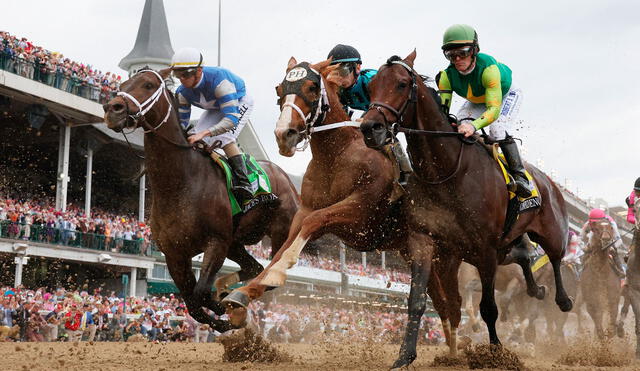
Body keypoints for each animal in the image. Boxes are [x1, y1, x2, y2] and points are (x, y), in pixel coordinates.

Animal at [102, 68, 300, 332]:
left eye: (148, 84)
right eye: (123, 84)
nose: (112, 109)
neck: (181, 184)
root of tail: (287, 179)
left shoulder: (216, 242)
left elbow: (201, 292)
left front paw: (226, 306)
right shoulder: (175, 254)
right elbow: (193, 304)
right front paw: (225, 313)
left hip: (279, 233)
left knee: (271, 274)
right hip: (235, 243)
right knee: (254, 268)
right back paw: (229, 290)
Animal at [222, 58, 458, 370]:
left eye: (312, 87)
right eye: (280, 88)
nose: (284, 135)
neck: (338, 156)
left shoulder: (359, 213)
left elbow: (315, 222)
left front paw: (275, 276)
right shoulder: (304, 212)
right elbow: (284, 246)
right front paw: (243, 294)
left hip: (441, 255)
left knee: (450, 303)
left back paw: (458, 348)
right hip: (414, 251)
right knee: (439, 300)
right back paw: (453, 349)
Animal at [360, 50, 576, 368]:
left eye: (401, 84)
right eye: (371, 86)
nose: (369, 129)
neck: (447, 169)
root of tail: (548, 182)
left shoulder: (485, 248)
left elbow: (489, 308)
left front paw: (496, 353)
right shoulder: (425, 240)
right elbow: (418, 301)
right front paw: (404, 355)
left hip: (549, 233)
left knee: (556, 259)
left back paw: (562, 298)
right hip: (497, 248)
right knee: (524, 257)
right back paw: (536, 289)